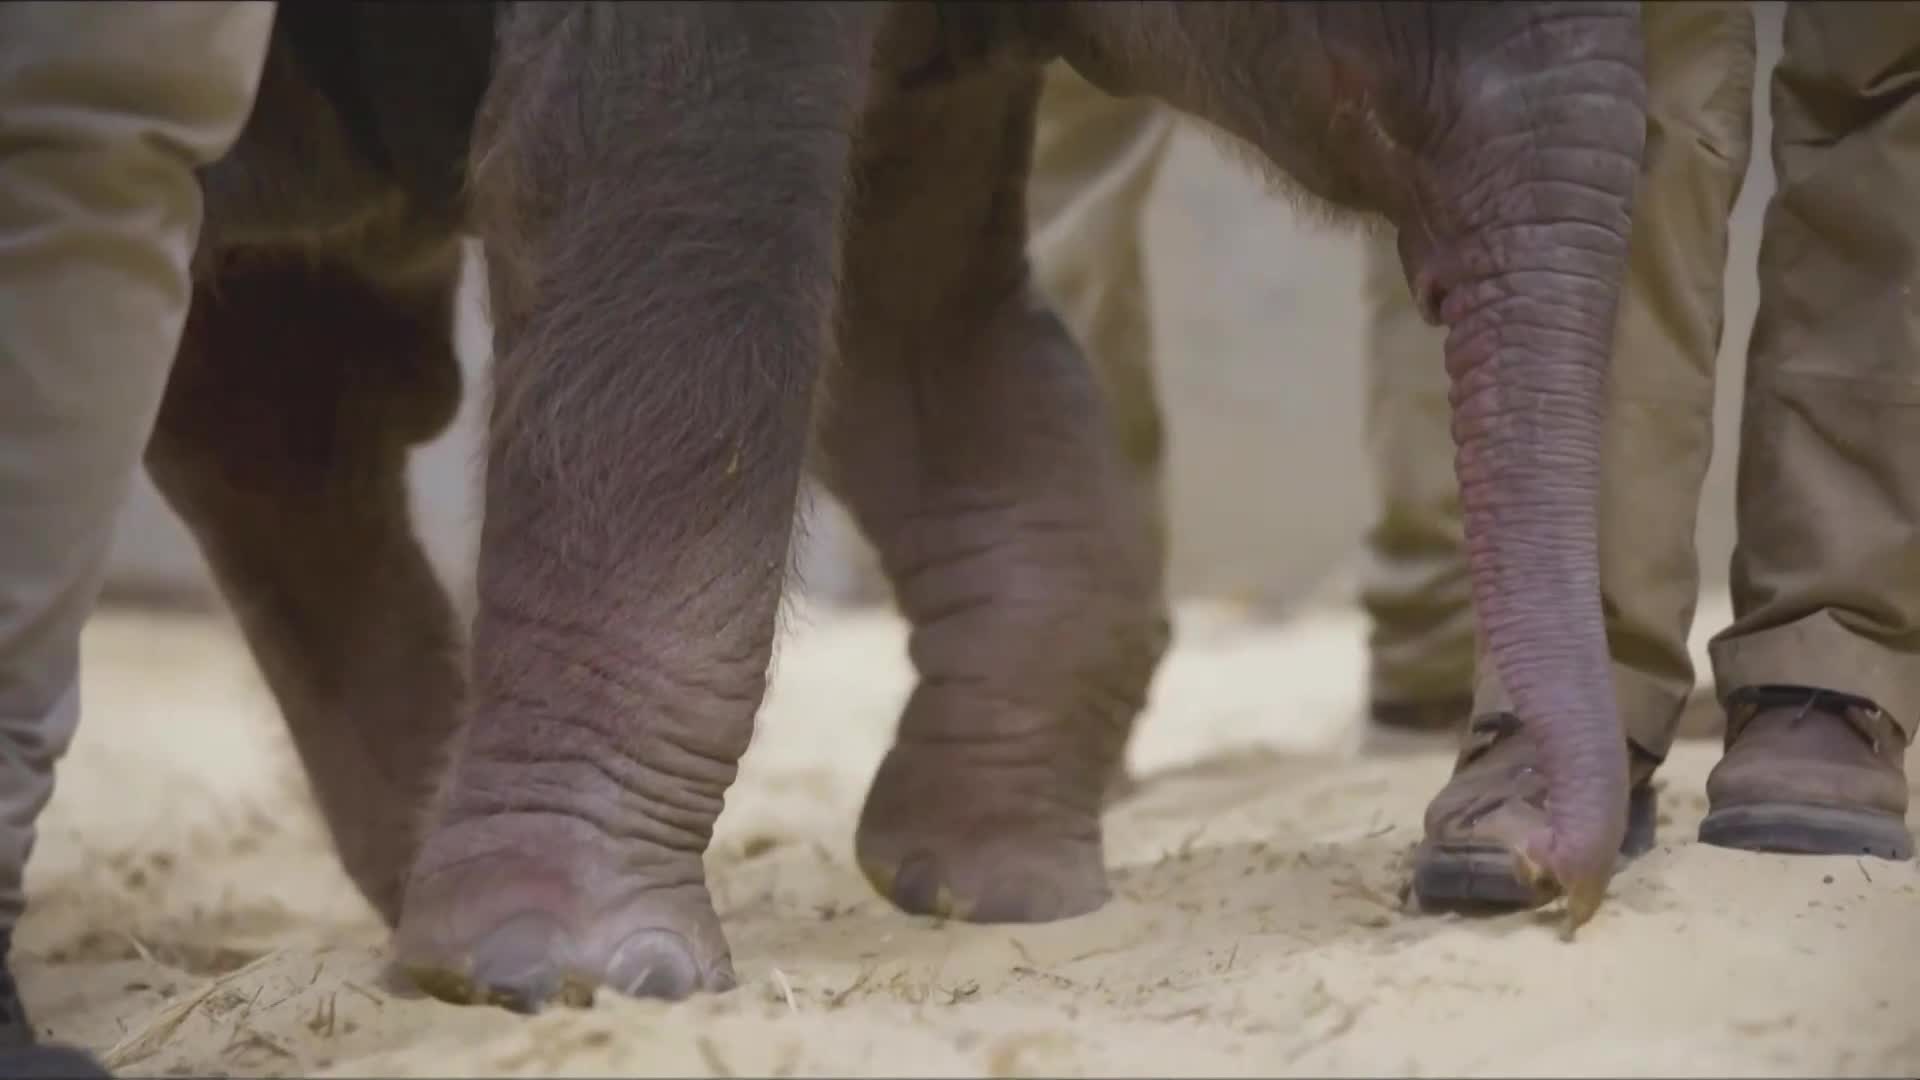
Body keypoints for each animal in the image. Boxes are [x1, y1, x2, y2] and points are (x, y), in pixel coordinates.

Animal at [151, 0, 1646, 1011]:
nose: (1497, 864)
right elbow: (699, 262)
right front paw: (570, 978)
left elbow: (929, 322)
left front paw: (987, 891)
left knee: (286, 399)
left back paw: (413, 894)